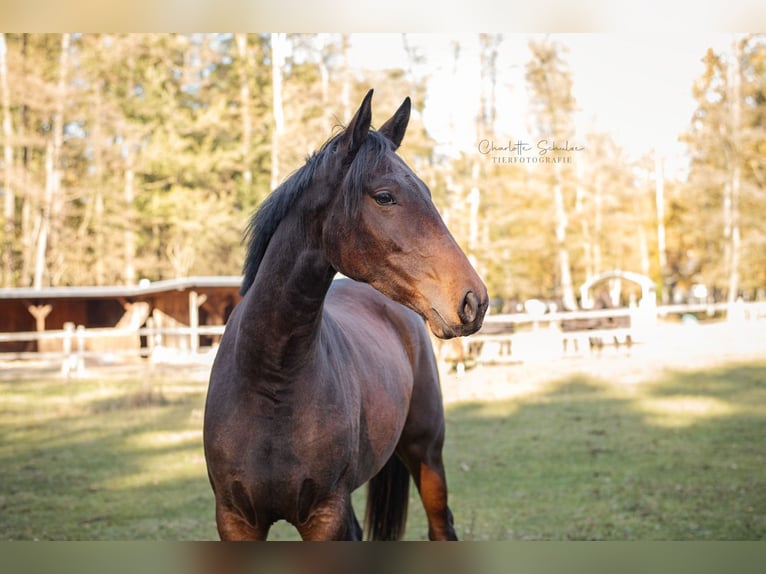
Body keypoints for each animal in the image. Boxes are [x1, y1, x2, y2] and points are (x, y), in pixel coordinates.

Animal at [204, 89, 488, 540]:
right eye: (385, 196)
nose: (473, 299)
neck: (270, 382)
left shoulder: (324, 516)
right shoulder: (235, 520)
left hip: (426, 455)